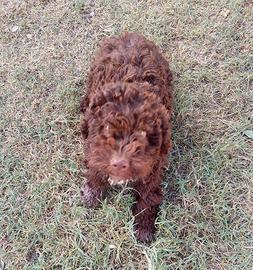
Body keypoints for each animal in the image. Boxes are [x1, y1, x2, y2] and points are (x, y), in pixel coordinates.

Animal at [80, 32, 173, 243]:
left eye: (144, 134)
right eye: (106, 127)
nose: (119, 163)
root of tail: (131, 35)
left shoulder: (153, 167)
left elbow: (148, 196)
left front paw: (144, 227)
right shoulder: (94, 149)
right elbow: (95, 168)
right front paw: (92, 192)